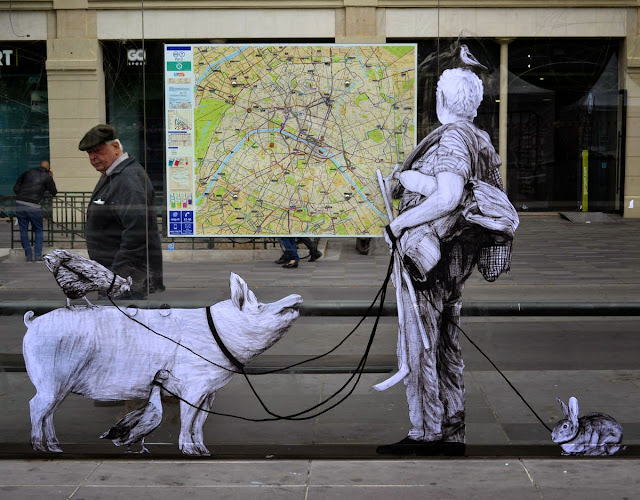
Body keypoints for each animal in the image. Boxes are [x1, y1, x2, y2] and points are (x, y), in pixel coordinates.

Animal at [23, 274, 304, 458]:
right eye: (260, 306)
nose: (297, 296)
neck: (217, 335)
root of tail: (32, 323)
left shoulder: (210, 390)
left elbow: (200, 421)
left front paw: (205, 451)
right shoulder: (193, 384)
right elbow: (188, 418)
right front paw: (191, 452)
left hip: (62, 384)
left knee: (49, 412)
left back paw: (56, 448)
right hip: (49, 375)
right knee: (36, 405)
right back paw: (39, 448)